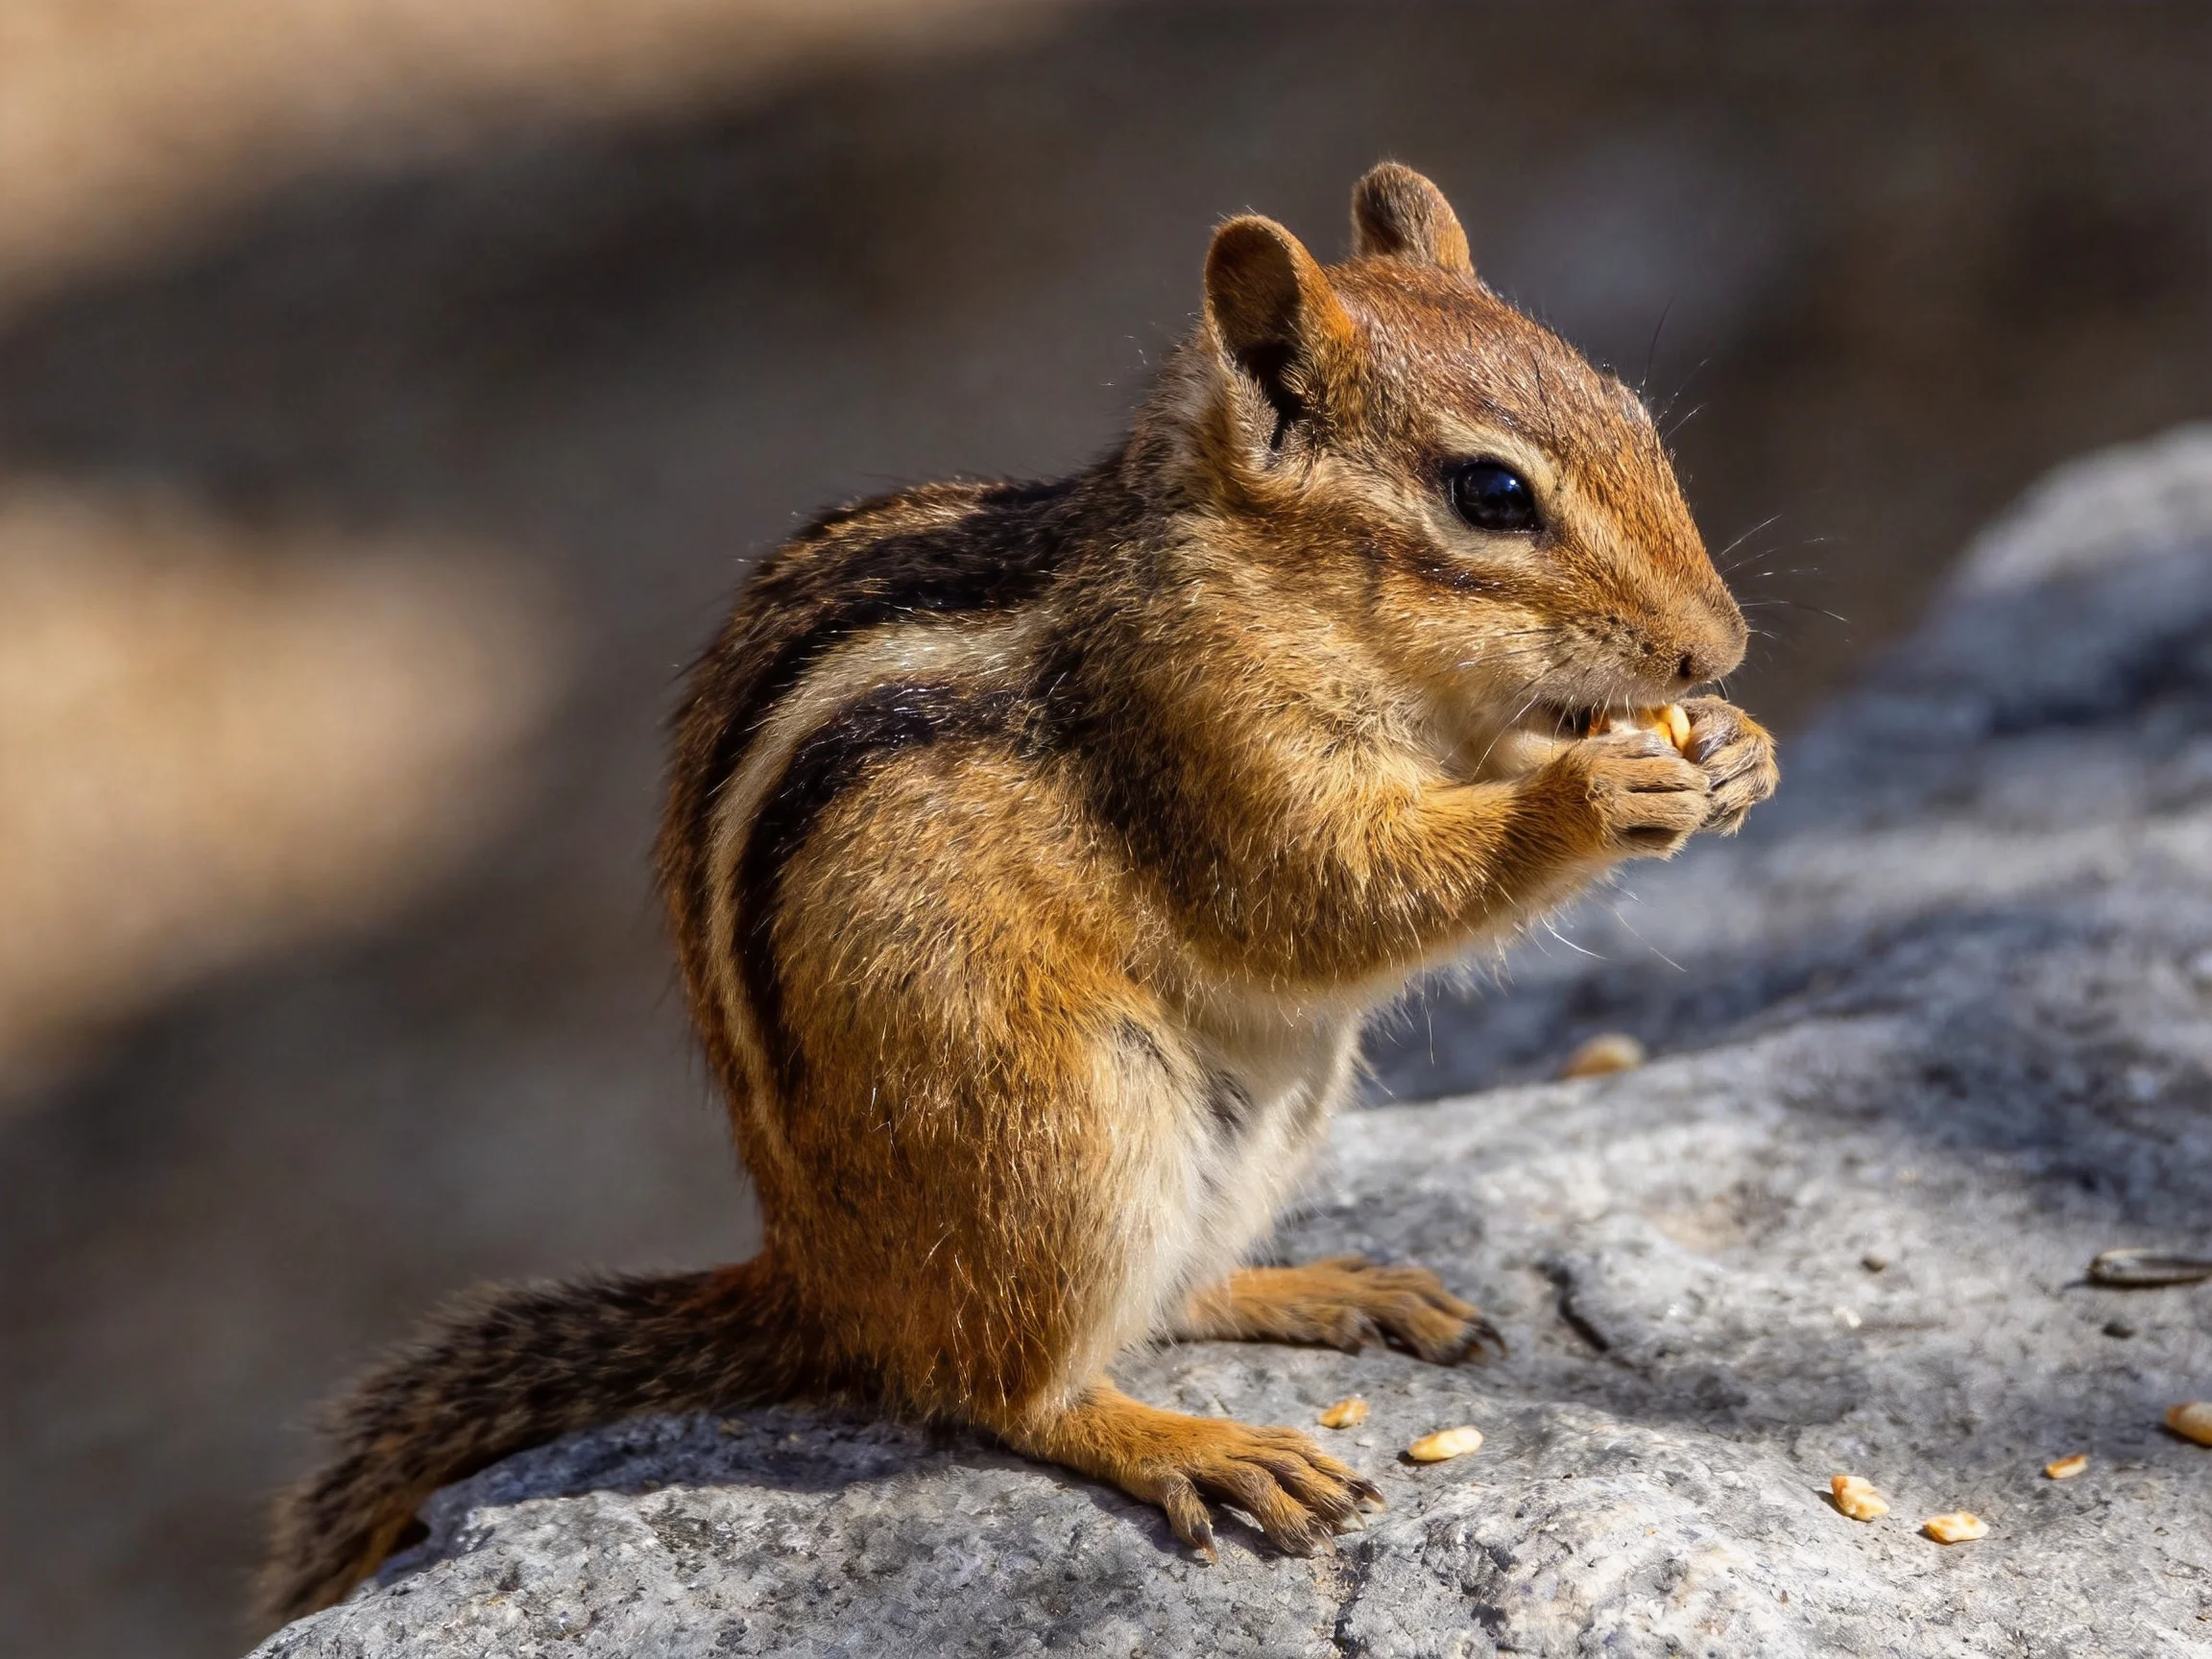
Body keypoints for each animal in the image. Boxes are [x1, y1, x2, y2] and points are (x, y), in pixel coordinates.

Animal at [258, 163, 1778, 1625]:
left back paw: (1327, 1287)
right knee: (1003, 1388)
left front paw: (1735, 748)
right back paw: (1195, 1448)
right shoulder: (1203, 735)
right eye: (1491, 496)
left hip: (1262, 1115)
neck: (1271, 581)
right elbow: (1326, 889)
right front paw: (1595, 793)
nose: (1717, 648)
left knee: (1167, 1300)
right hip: (1063, 1126)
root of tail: (826, 1284)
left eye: (1631, 413)